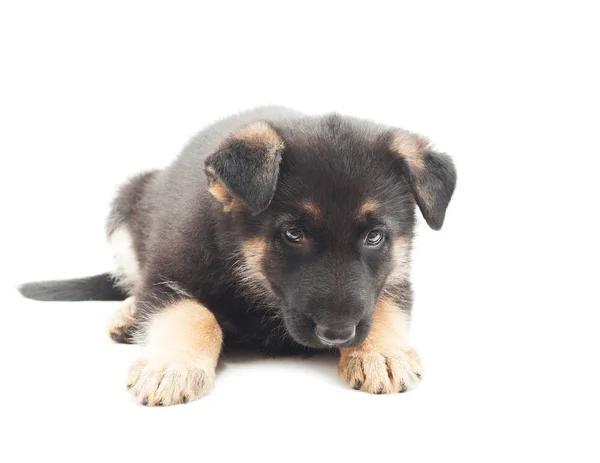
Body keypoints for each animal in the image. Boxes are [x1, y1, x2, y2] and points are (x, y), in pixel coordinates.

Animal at [21, 108, 458, 406]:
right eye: (293, 234)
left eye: (374, 237)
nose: (337, 334)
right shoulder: (165, 275)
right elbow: (194, 314)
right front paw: (174, 365)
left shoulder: (394, 277)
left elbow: (383, 306)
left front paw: (382, 353)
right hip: (127, 206)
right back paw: (128, 315)